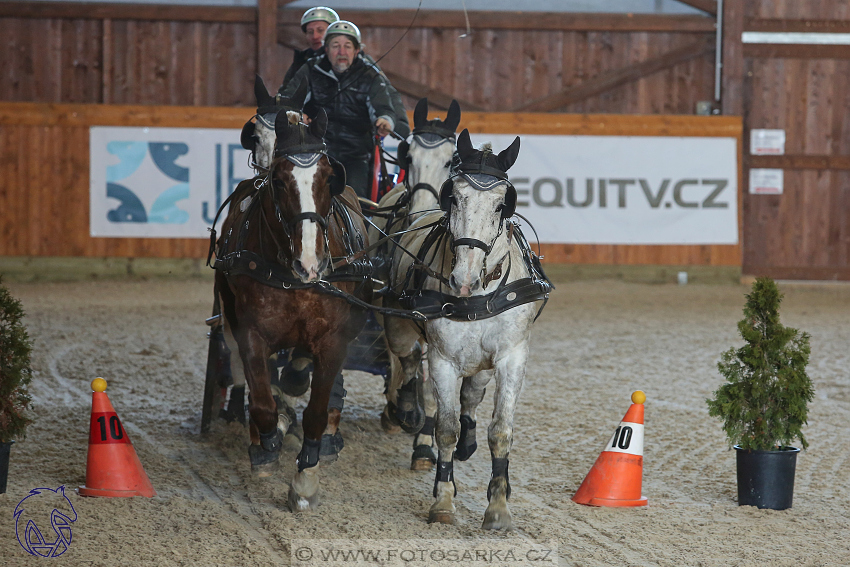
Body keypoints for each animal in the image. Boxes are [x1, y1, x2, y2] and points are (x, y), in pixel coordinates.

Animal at [212, 110, 368, 510]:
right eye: (279, 181)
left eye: (328, 177)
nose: (310, 263)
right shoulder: (250, 331)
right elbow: (262, 399)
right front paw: (267, 442)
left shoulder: (334, 339)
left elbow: (316, 411)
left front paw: (306, 478)